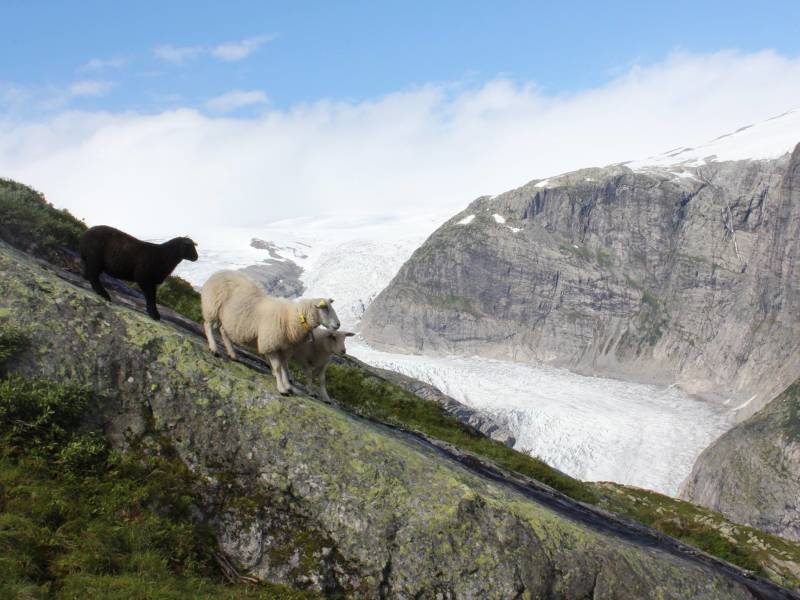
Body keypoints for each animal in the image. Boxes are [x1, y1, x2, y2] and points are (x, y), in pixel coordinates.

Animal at [202, 270, 340, 394]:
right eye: (325, 308)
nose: (338, 324)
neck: (292, 317)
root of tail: (219, 272)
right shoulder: (271, 344)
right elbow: (278, 368)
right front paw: (282, 389)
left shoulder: (284, 348)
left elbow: (285, 368)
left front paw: (288, 387)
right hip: (212, 306)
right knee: (207, 326)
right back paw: (214, 349)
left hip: (228, 319)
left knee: (223, 331)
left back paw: (232, 354)